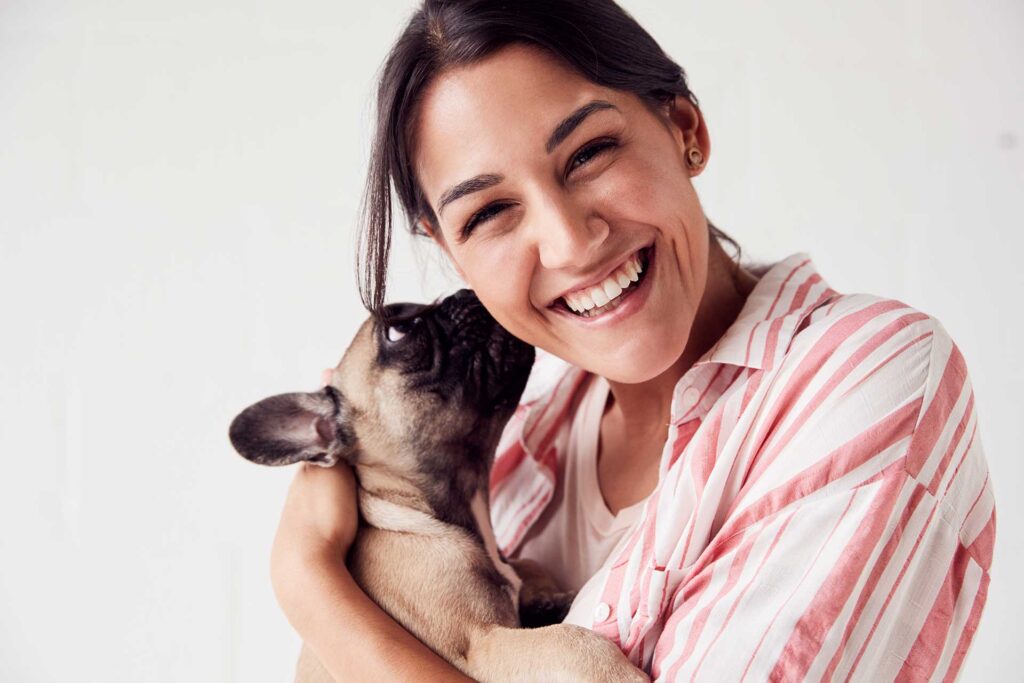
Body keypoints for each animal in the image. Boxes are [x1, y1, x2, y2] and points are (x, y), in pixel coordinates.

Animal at [230, 290, 647, 683]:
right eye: (398, 331)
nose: (461, 293)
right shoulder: (480, 642)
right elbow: (566, 640)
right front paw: (620, 673)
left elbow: (541, 587)